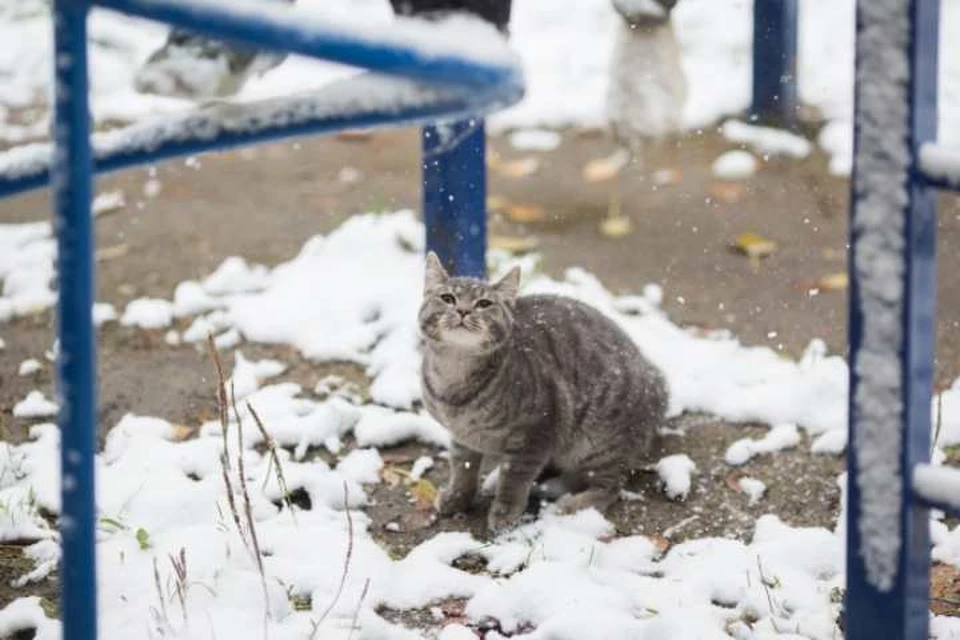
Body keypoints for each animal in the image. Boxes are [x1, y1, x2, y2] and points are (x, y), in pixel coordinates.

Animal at [420, 252, 668, 532]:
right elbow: (463, 469)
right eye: (447, 298)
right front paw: (457, 497)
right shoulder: (462, 438)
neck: (454, 376)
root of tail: (655, 382)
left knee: (610, 485)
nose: (462, 310)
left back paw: (572, 504)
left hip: (596, 444)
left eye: (484, 303)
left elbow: (514, 477)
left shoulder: (536, 431)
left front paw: (505, 511)